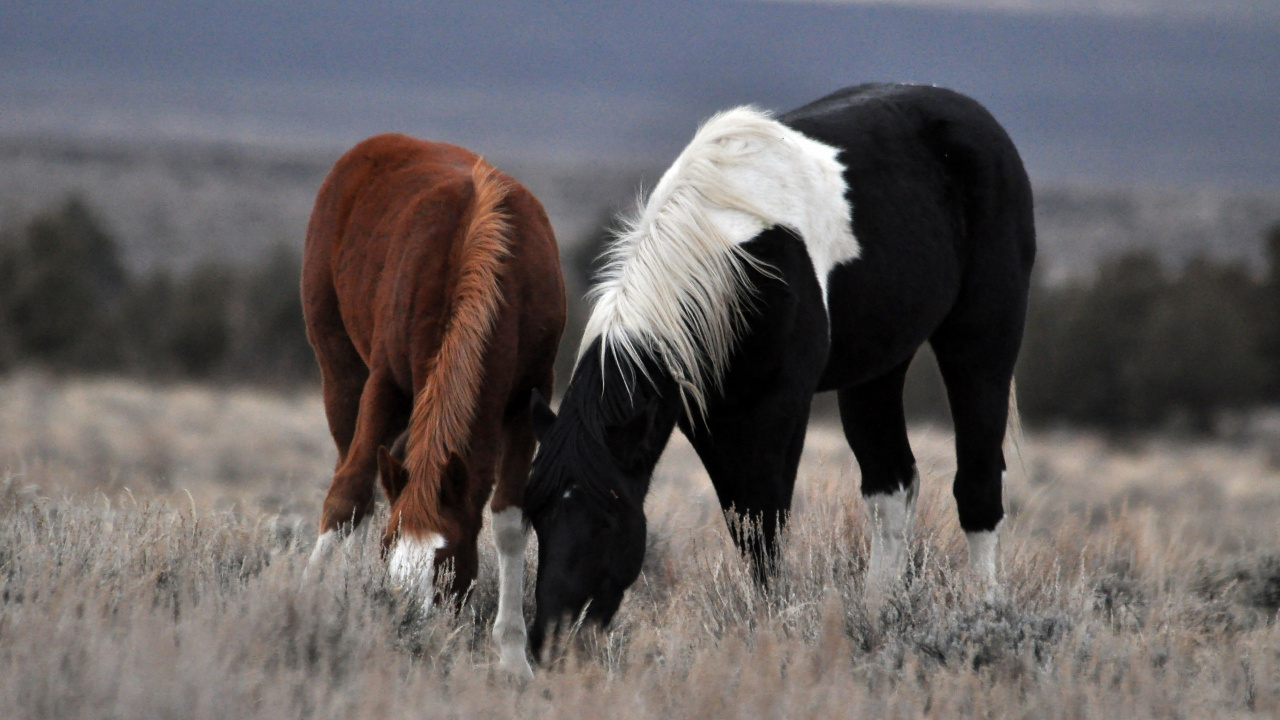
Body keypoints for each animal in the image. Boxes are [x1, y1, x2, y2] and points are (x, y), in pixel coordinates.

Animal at [301, 133, 565, 678]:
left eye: (447, 562)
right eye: (389, 550)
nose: (408, 628)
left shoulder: (527, 398)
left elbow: (509, 520)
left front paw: (513, 655)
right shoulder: (385, 384)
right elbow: (347, 496)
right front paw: (307, 600)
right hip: (340, 374)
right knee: (352, 475)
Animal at [523, 83, 1035, 657]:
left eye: (609, 514)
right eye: (535, 514)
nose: (549, 644)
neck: (731, 259)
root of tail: (973, 115)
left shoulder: (778, 408)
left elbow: (765, 525)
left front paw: (770, 630)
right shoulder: (711, 418)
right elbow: (745, 526)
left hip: (982, 339)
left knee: (978, 486)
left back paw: (985, 619)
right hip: (877, 369)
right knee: (892, 488)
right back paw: (877, 618)